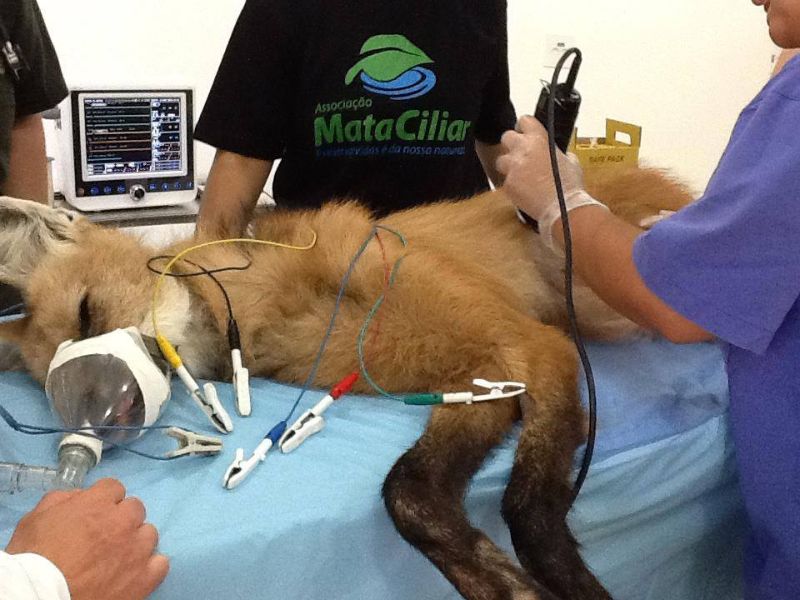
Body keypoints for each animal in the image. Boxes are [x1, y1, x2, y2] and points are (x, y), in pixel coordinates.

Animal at [0, 167, 692, 600]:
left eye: (88, 314)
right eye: (59, 380)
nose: (113, 411)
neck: (267, 301)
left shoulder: (532, 347)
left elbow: (530, 510)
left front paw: (569, 585)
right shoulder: (477, 382)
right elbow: (411, 496)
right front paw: (503, 583)